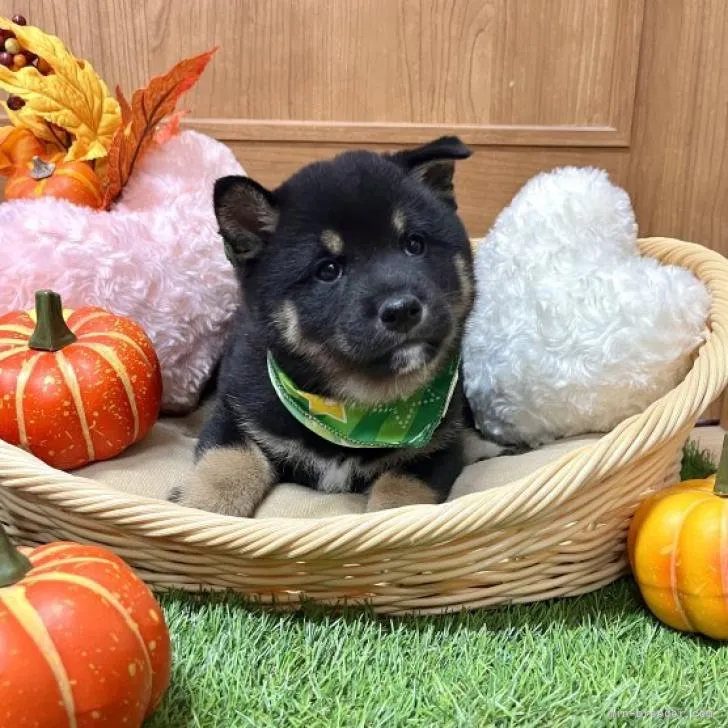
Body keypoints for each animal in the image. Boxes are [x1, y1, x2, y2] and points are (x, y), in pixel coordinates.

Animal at [171, 136, 490, 516]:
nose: (402, 310)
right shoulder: (236, 416)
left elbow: (400, 497)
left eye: (414, 244)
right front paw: (198, 507)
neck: (353, 413)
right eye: (328, 270)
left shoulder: (437, 448)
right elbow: (225, 467)